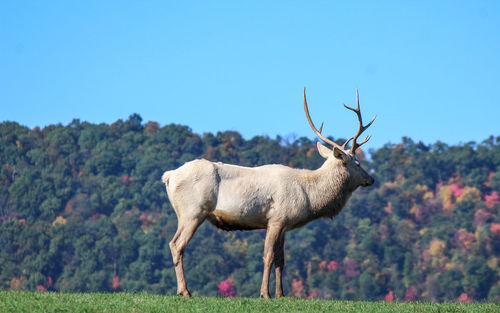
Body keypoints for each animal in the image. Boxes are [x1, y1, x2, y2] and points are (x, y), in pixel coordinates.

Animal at [162, 88, 376, 298]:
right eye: (357, 163)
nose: (371, 179)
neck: (309, 197)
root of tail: (169, 176)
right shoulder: (276, 219)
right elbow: (268, 256)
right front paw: (265, 293)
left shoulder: (284, 225)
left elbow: (281, 260)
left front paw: (281, 294)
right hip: (193, 211)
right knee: (177, 244)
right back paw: (185, 291)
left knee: (174, 244)